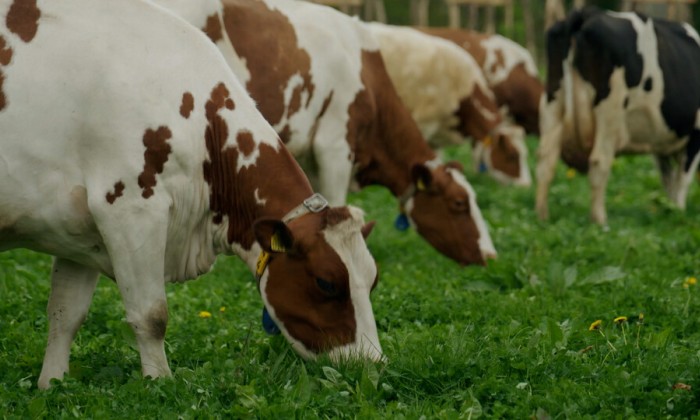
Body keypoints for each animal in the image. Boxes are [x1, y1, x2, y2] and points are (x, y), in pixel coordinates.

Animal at [0, 0, 382, 389]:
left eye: (373, 280)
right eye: (326, 283)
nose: (372, 364)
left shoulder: (79, 229)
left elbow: (66, 313)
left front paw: (51, 384)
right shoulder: (129, 208)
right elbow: (151, 315)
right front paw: (159, 385)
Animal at [536, 7, 700, 225]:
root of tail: (586, 14)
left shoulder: (662, 144)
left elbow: (669, 180)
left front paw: (671, 210)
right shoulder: (695, 135)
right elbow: (682, 180)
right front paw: (679, 214)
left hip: (553, 102)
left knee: (546, 160)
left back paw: (542, 216)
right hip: (610, 112)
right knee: (599, 162)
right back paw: (600, 221)